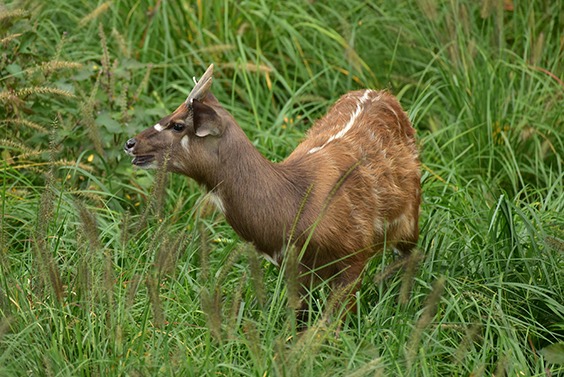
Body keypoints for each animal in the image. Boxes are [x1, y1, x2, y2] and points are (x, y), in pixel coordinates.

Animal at [124, 63, 424, 322]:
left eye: (177, 125)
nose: (130, 143)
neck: (295, 203)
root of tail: (382, 93)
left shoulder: (354, 254)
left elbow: (332, 322)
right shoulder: (296, 269)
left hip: (411, 219)